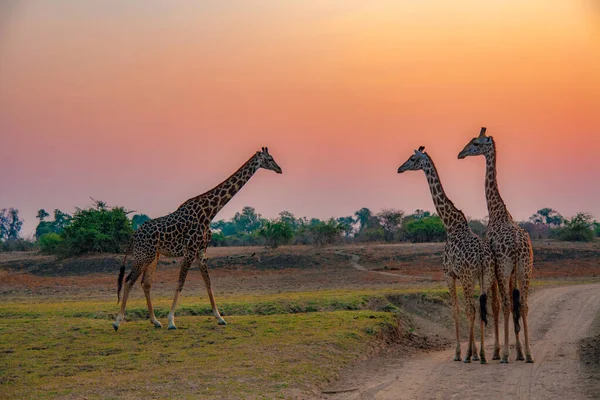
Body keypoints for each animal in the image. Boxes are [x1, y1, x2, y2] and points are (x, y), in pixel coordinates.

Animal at [113, 147, 282, 332]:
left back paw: (155, 321)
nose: (279, 169)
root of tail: (134, 235)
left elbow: (208, 283)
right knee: (129, 281)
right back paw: (117, 322)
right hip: (143, 255)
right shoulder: (190, 250)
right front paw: (171, 321)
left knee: (145, 283)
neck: (209, 213)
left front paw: (220, 317)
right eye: (270, 158)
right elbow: (180, 282)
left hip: (153, 257)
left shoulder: (202, 251)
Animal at [396, 146, 500, 362]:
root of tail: (483, 257)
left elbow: (455, 310)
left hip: (469, 277)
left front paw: (459, 352)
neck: (450, 224)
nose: (400, 168)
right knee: (483, 307)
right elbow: (467, 309)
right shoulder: (465, 276)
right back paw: (483, 354)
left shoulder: (449, 274)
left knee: (471, 308)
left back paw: (471, 355)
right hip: (485, 276)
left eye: (412, 159)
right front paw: (472, 351)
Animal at [460, 128, 536, 362]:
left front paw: (496, 351)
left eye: (475, 143)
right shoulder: (510, 272)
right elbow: (514, 302)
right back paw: (529, 354)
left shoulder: (494, 268)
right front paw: (518, 350)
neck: (496, 211)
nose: (461, 153)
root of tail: (518, 246)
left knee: (505, 304)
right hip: (525, 268)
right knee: (523, 304)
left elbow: (494, 305)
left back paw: (504, 355)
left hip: (504, 268)